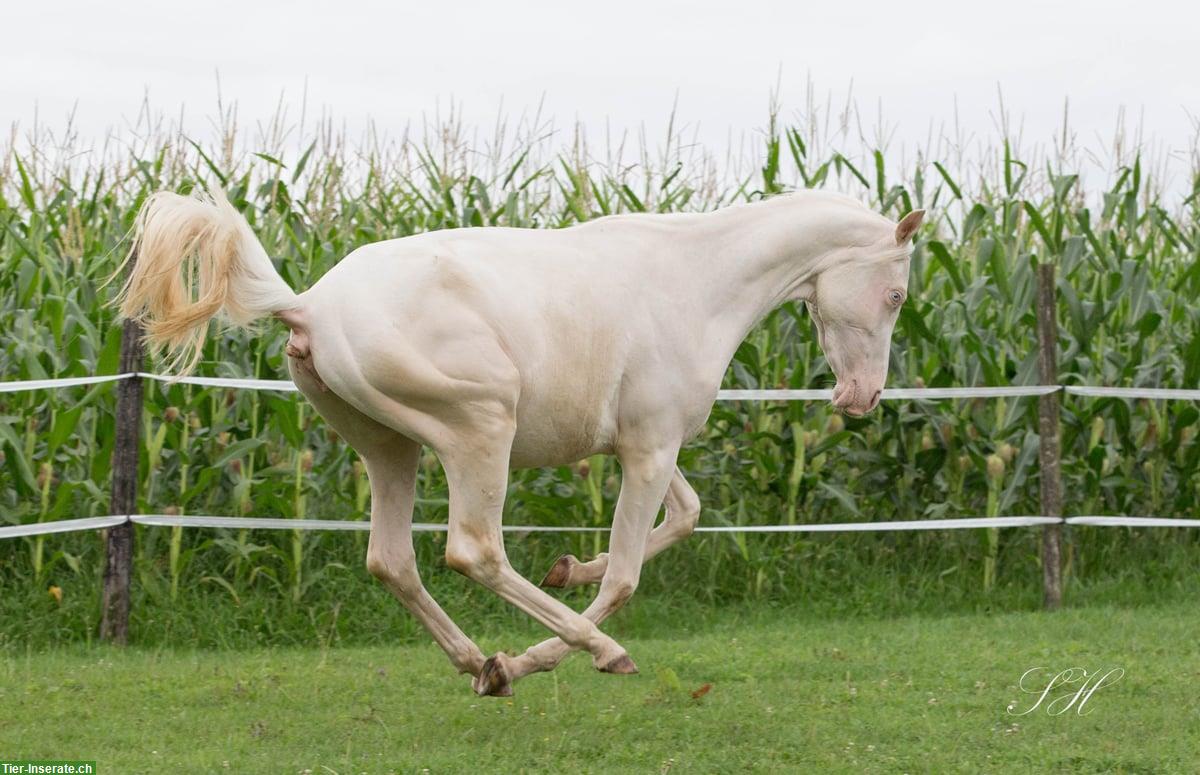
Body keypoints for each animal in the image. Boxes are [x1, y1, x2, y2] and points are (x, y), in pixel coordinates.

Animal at [119, 188, 916, 700]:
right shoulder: (650, 449)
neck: (694, 284)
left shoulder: (642, 447)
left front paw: (567, 568)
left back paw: (478, 662)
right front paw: (561, 648)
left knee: (391, 560)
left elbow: (684, 519)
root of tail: (309, 303)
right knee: (473, 550)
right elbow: (625, 577)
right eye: (897, 295)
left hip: (389, 447)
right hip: (480, 432)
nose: (861, 397)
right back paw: (562, 658)